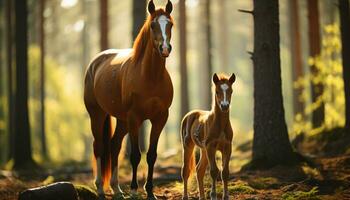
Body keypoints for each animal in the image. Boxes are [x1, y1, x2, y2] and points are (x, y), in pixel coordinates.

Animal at [83, 1, 174, 198]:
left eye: (170, 24)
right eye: (153, 25)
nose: (164, 49)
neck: (150, 77)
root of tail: (95, 63)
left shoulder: (160, 118)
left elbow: (152, 155)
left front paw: (150, 191)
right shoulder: (135, 118)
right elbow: (135, 156)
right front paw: (133, 190)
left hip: (122, 120)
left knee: (114, 145)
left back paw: (117, 189)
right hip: (97, 114)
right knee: (99, 146)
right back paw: (100, 188)